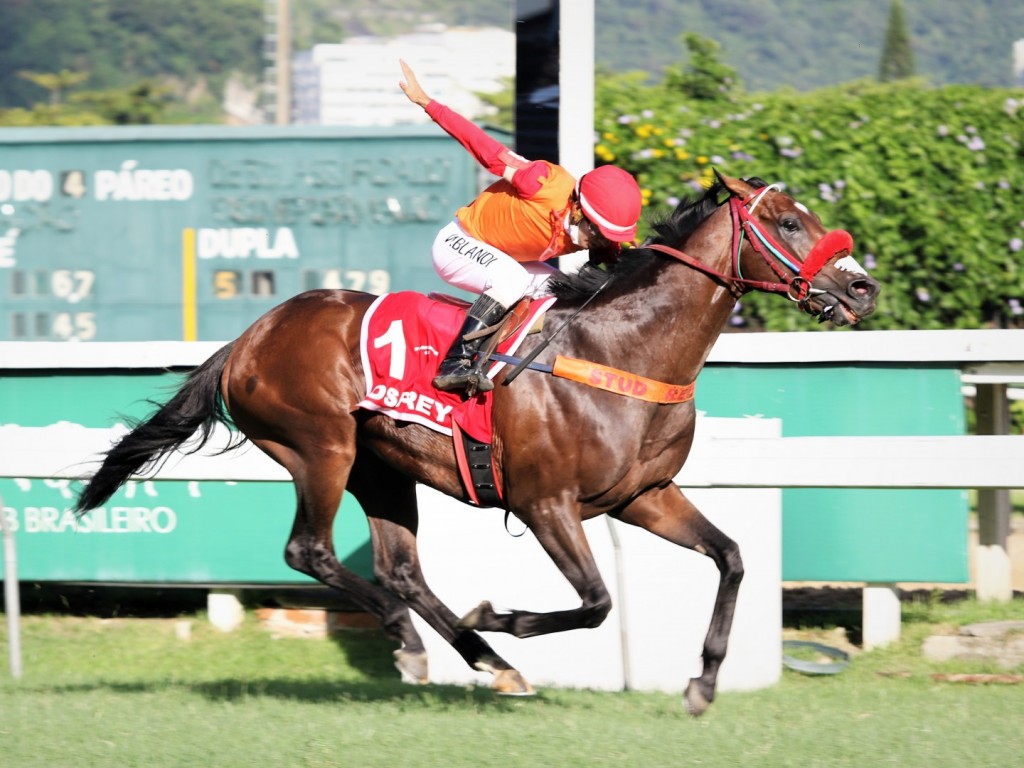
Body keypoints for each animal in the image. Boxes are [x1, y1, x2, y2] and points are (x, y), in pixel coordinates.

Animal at [75, 174, 880, 716]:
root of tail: (250, 336)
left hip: (382, 469)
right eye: (789, 220)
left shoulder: (645, 496)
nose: (863, 288)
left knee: (402, 570)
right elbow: (595, 602)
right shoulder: (547, 502)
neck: (624, 351)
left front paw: (703, 684)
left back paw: (486, 662)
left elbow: (733, 557)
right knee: (312, 552)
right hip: (320, 448)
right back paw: (417, 643)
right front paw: (501, 616)